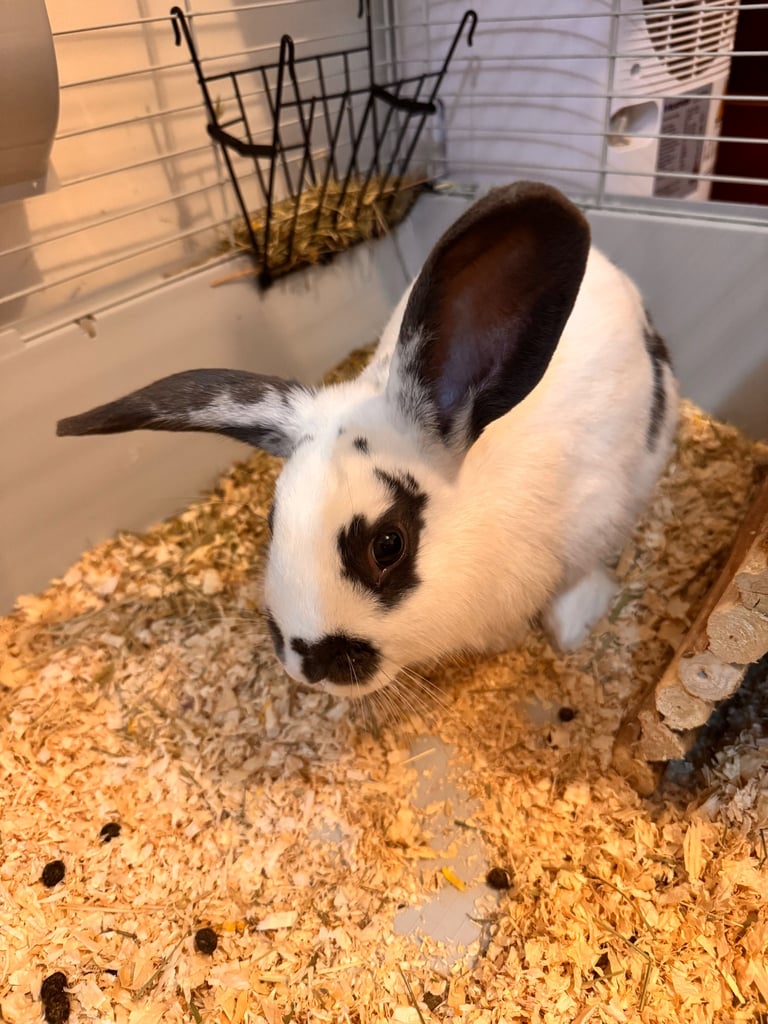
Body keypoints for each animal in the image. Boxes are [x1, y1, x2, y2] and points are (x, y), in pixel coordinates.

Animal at [57, 181, 678, 697]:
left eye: (388, 545)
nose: (307, 662)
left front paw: (574, 628)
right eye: (271, 521)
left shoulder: (596, 515)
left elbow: (582, 578)